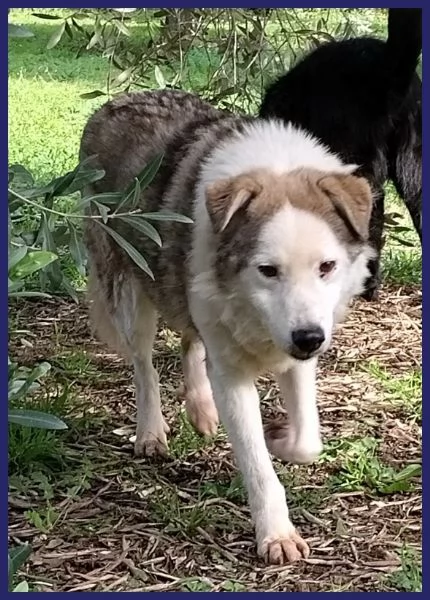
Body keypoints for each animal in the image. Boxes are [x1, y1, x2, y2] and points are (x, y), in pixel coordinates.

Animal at [81, 88, 376, 564]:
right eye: (267, 270)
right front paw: (276, 534)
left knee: (189, 341)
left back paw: (201, 409)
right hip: (132, 291)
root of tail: (115, 102)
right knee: (144, 366)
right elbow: (257, 465)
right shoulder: (234, 376)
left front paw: (282, 439)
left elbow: (308, 441)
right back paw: (151, 433)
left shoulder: (299, 355)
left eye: (327, 267)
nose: (309, 339)